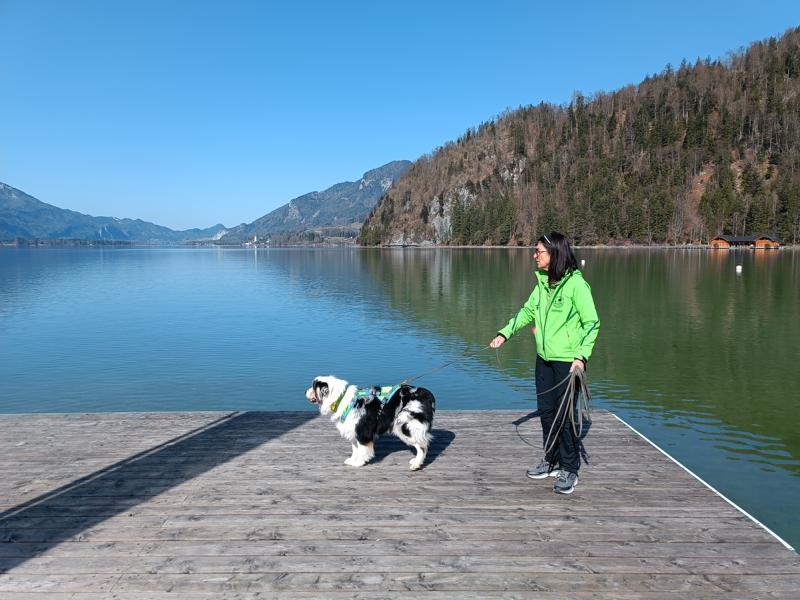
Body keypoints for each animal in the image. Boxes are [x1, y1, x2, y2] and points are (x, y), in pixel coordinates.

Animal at [306, 375, 435, 470]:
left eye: (313, 388)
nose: (305, 391)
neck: (340, 399)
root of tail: (427, 395)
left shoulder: (363, 433)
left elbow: (362, 450)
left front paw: (359, 463)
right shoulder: (354, 432)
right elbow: (355, 449)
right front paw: (353, 460)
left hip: (405, 426)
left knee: (422, 446)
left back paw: (416, 464)